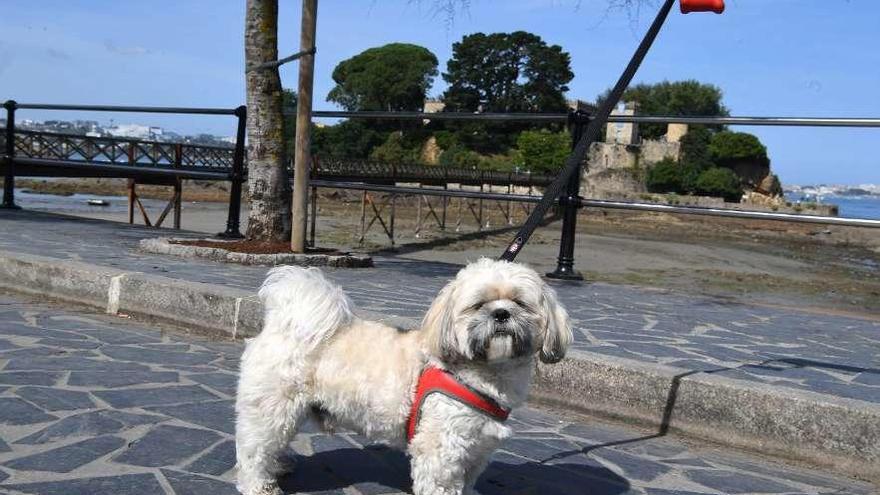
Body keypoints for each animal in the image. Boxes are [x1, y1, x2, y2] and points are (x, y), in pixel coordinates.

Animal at [237, 260, 576, 495]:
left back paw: (279, 466)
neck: (481, 373)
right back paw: (259, 484)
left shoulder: (476, 450)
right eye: (479, 305)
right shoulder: (442, 448)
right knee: (255, 448)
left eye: (520, 303)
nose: (501, 313)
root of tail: (284, 323)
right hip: (273, 408)